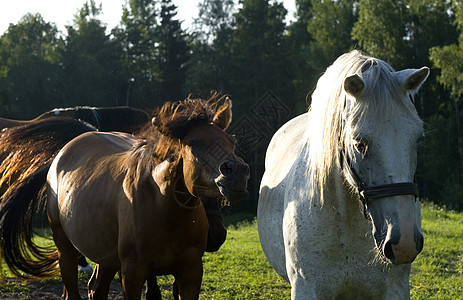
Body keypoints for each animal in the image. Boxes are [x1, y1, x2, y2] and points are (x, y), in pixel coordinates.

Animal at [0, 97, 250, 298]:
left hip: (106, 257)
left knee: (96, 289)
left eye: (232, 141)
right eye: (193, 143)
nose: (237, 172)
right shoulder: (133, 273)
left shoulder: (191, 273)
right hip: (66, 250)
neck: (165, 207)